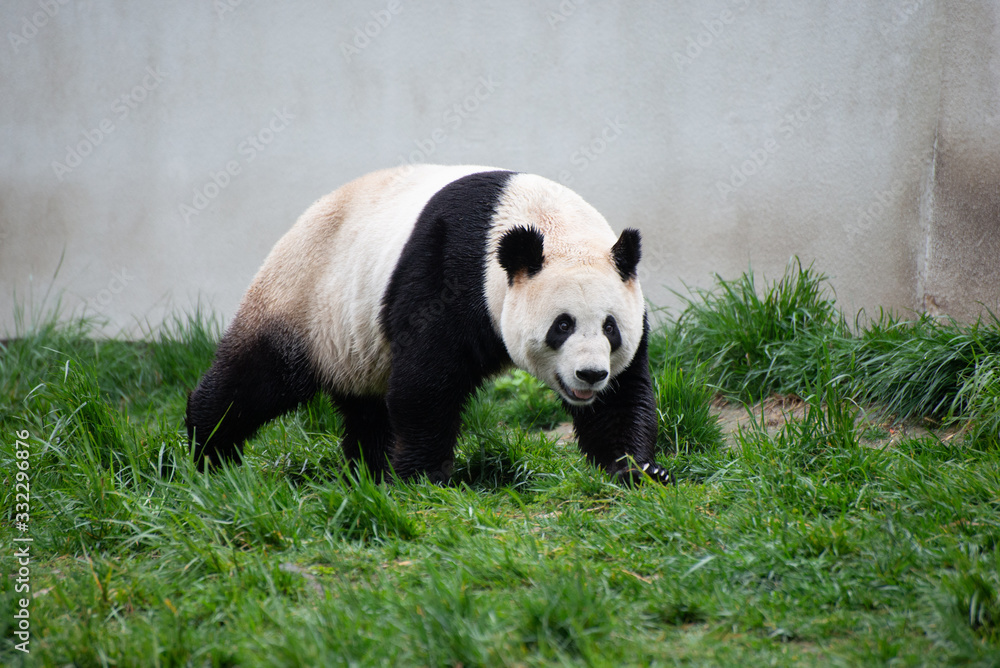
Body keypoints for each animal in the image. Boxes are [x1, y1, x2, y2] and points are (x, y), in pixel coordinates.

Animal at [187, 164, 670, 485]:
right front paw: (425, 476)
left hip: (354, 341)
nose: (590, 375)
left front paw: (640, 470)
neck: (551, 224)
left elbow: (621, 399)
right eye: (562, 326)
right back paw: (208, 455)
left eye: (610, 328)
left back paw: (369, 471)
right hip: (303, 300)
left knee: (367, 408)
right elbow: (426, 381)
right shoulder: (449, 272)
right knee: (253, 380)